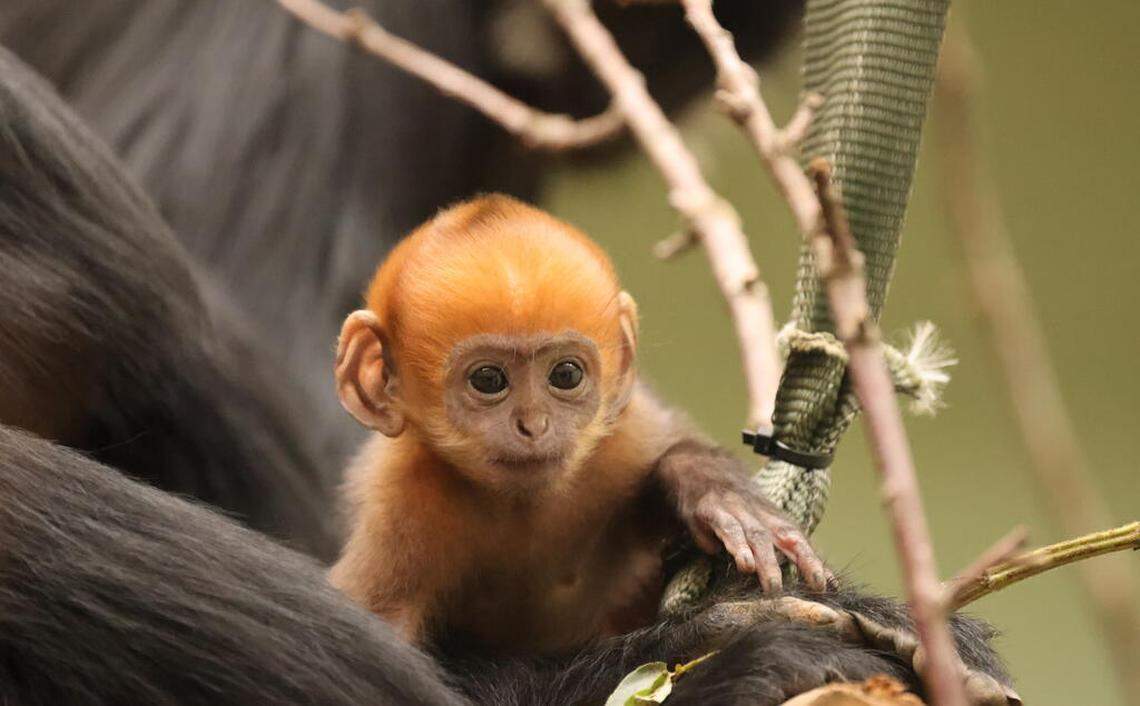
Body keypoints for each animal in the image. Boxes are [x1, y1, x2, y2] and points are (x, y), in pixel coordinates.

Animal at [329, 195, 830, 652]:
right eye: (488, 379)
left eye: (565, 374)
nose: (533, 425)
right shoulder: (398, 509)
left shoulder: (624, 436)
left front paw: (717, 493)